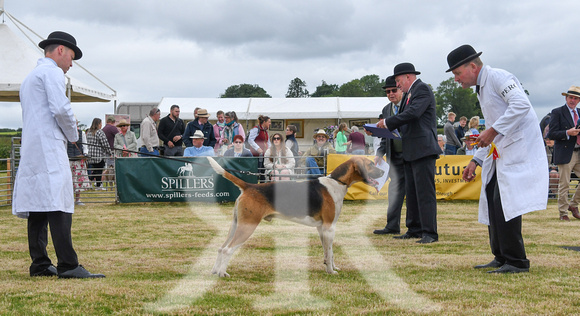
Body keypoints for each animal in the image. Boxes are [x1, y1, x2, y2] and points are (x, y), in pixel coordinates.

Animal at [206, 156, 382, 276]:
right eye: (371, 164)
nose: (383, 171)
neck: (337, 182)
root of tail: (250, 186)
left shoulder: (321, 229)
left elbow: (328, 253)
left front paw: (330, 266)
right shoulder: (329, 228)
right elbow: (331, 251)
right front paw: (331, 272)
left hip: (236, 224)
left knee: (221, 248)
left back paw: (214, 271)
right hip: (247, 227)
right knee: (227, 250)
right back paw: (222, 273)